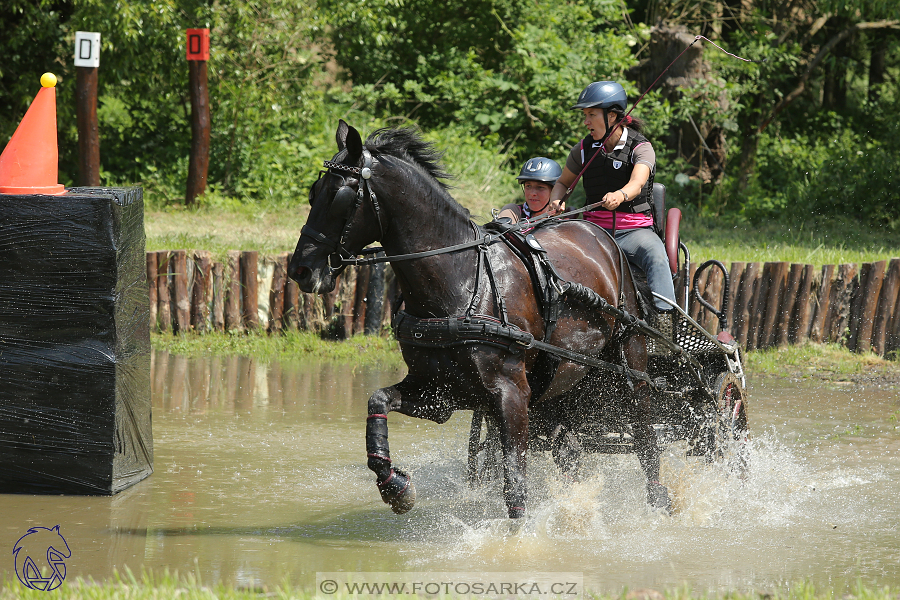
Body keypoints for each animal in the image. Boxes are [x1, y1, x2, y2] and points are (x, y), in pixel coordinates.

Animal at [288, 119, 668, 516]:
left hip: (630, 364)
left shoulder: (511, 395)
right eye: (314, 192)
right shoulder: (439, 392)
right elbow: (377, 400)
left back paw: (659, 500)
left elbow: (515, 489)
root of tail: (600, 234)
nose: (300, 269)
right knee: (571, 449)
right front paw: (395, 485)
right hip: (560, 383)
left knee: (645, 436)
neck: (462, 282)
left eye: (339, 196)